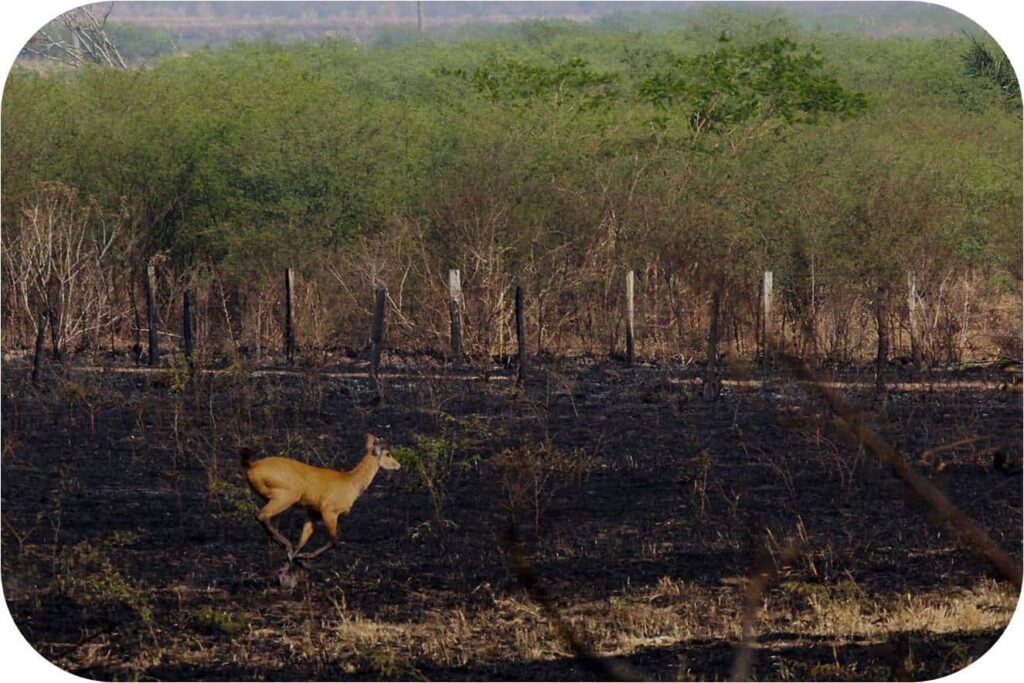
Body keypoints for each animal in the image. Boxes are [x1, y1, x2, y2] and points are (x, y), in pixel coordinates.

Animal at [239, 436, 399, 565]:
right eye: (388, 453)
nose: (398, 465)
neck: (351, 482)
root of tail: (252, 465)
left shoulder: (313, 511)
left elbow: (304, 539)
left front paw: (295, 560)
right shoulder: (329, 510)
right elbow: (334, 539)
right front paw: (303, 557)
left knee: (262, 517)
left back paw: (287, 549)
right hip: (288, 494)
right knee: (262, 515)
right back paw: (287, 545)